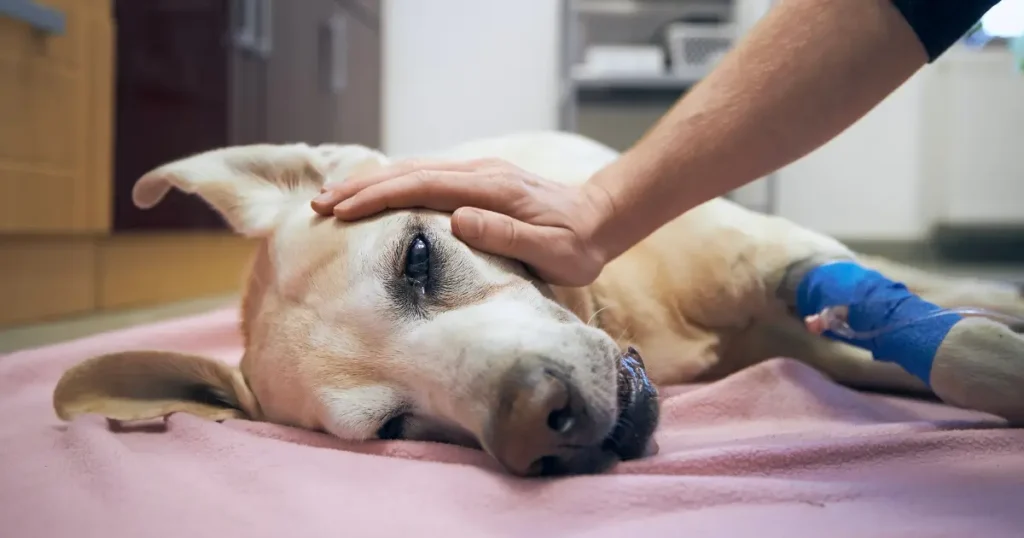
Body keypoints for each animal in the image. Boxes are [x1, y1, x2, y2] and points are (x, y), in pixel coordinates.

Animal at [51, 132, 1024, 475]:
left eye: (416, 258)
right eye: (395, 428)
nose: (534, 421)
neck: (626, 315)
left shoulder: (790, 263)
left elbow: (959, 347)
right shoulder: (811, 336)